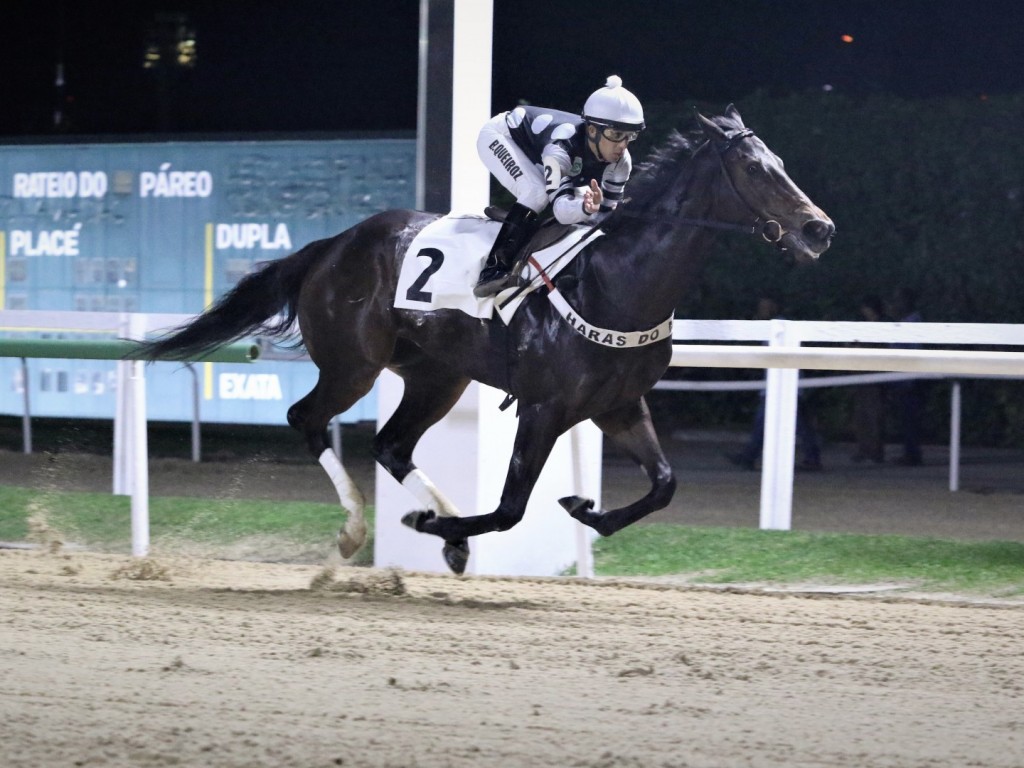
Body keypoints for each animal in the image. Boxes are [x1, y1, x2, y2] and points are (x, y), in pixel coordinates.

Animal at [142, 107, 831, 573]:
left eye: (782, 164)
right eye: (754, 168)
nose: (818, 229)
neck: (615, 280)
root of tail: (332, 245)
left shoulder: (618, 404)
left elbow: (663, 485)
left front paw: (585, 510)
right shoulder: (545, 407)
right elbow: (509, 509)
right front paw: (438, 525)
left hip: (436, 375)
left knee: (392, 445)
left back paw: (441, 523)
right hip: (352, 364)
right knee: (305, 418)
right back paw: (362, 529)